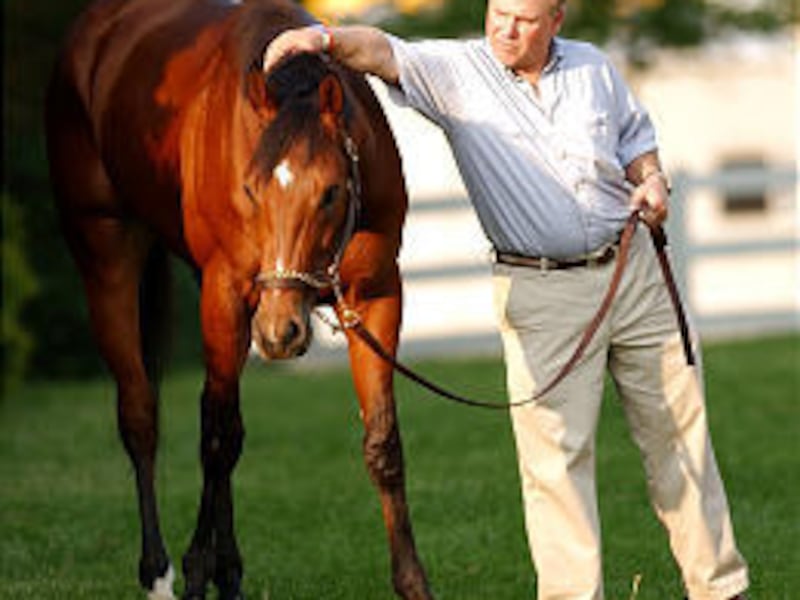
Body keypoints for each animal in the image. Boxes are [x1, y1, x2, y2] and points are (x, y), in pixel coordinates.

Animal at [44, 0, 431, 598]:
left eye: (330, 192)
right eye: (251, 188)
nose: (280, 332)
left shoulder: (375, 298)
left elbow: (381, 442)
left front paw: (412, 583)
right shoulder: (225, 295)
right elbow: (216, 440)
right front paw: (195, 568)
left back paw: (226, 572)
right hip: (108, 258)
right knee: (143, 416)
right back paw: (161, 574)